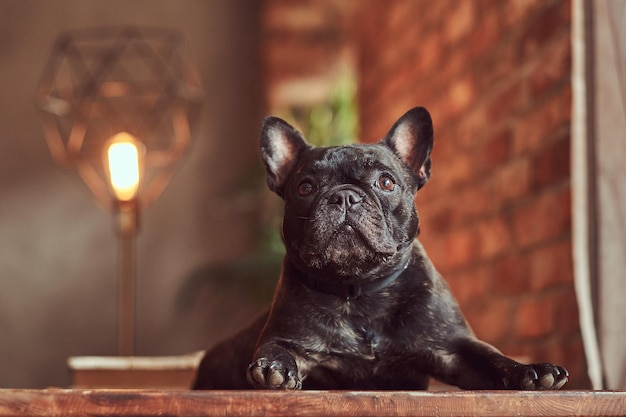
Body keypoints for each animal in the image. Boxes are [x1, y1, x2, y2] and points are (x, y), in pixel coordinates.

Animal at [193, 107, 568, 390]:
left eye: (385, 182)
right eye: (305, 187)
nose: (345, 196)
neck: (359, 289)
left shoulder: (454, 348)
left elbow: (491, 357)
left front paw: (530, 371)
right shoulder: (289, 338)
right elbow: (276, 349)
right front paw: (274, 368)